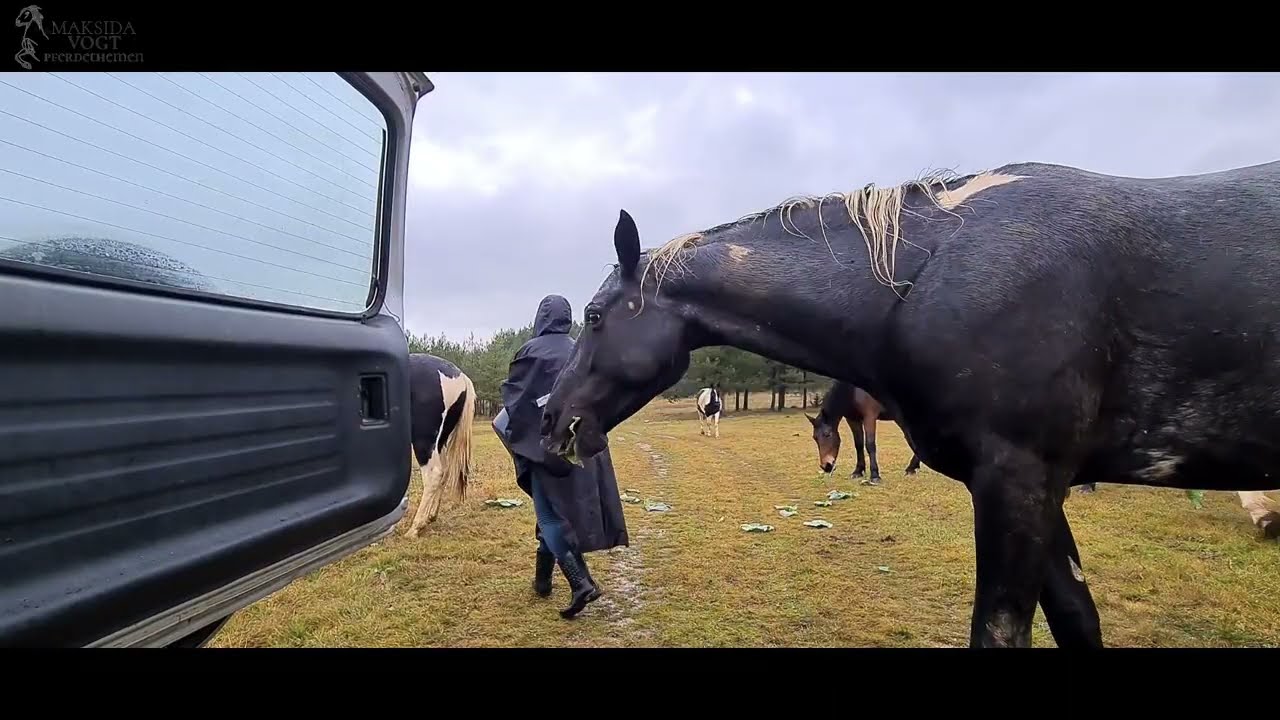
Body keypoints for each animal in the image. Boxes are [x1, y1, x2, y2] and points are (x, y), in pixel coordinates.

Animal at [406, 352, 476, 537]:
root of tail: (461, 376)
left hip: (424, 440)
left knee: (434, 474)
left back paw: (416, 527)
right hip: (440, 439)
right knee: (444, 471)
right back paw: (431, 515)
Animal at [539, 159, 1280, 648]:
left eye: (597, 317)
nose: (549, 420)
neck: (932, 275)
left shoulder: (1017, 478)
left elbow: (999, 629)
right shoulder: (1039, 488)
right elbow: (1076, 618)